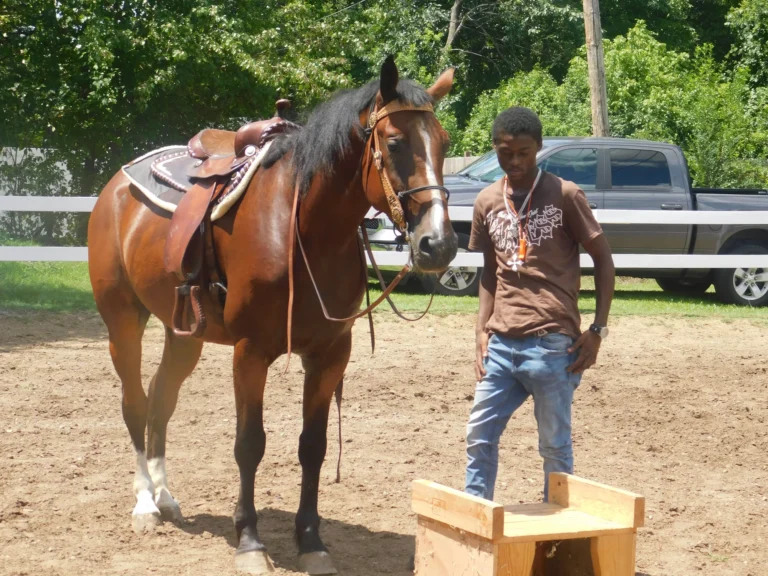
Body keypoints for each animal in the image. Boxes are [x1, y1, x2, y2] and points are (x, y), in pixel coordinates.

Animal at [87, 56, 457, 574]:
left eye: (443, 143)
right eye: (395, 143)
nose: (438, 244)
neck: (301, 226)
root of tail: (116, 186)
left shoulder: (330, 354)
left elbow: (313, 447)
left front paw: (311, 540)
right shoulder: (251, 352)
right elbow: (249, 445)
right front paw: (249, 541)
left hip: (185, 334)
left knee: (162, 398)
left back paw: (165, 497)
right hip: (123, 322)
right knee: (136, 403)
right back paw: (145, 505)